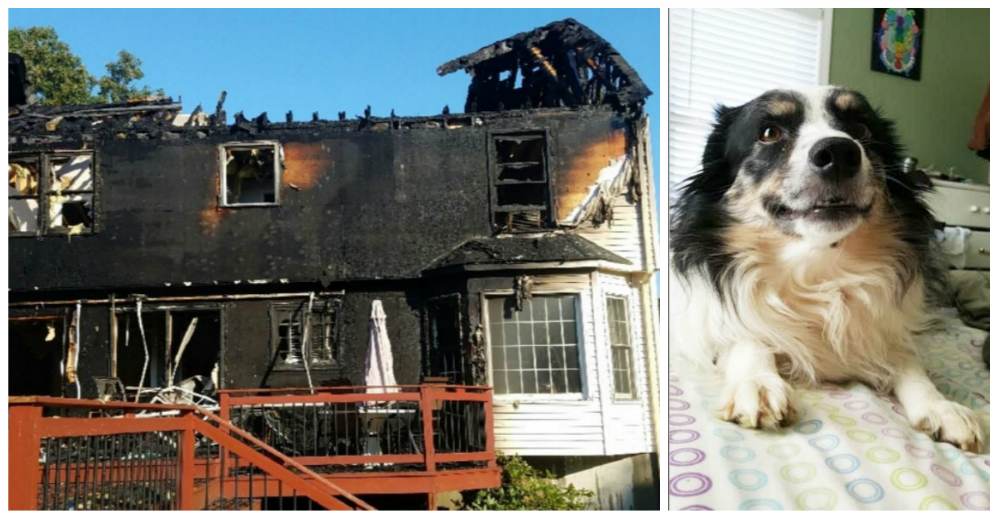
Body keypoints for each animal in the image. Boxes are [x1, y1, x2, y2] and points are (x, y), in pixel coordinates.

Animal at [668, 85, 980, 450]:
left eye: (860, 128)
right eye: (769, 133)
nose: (839, 152)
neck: (817, 267)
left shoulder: (887, 328)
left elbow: (909, 362)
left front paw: (941, 406)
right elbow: (744, 336)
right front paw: (757, 382)